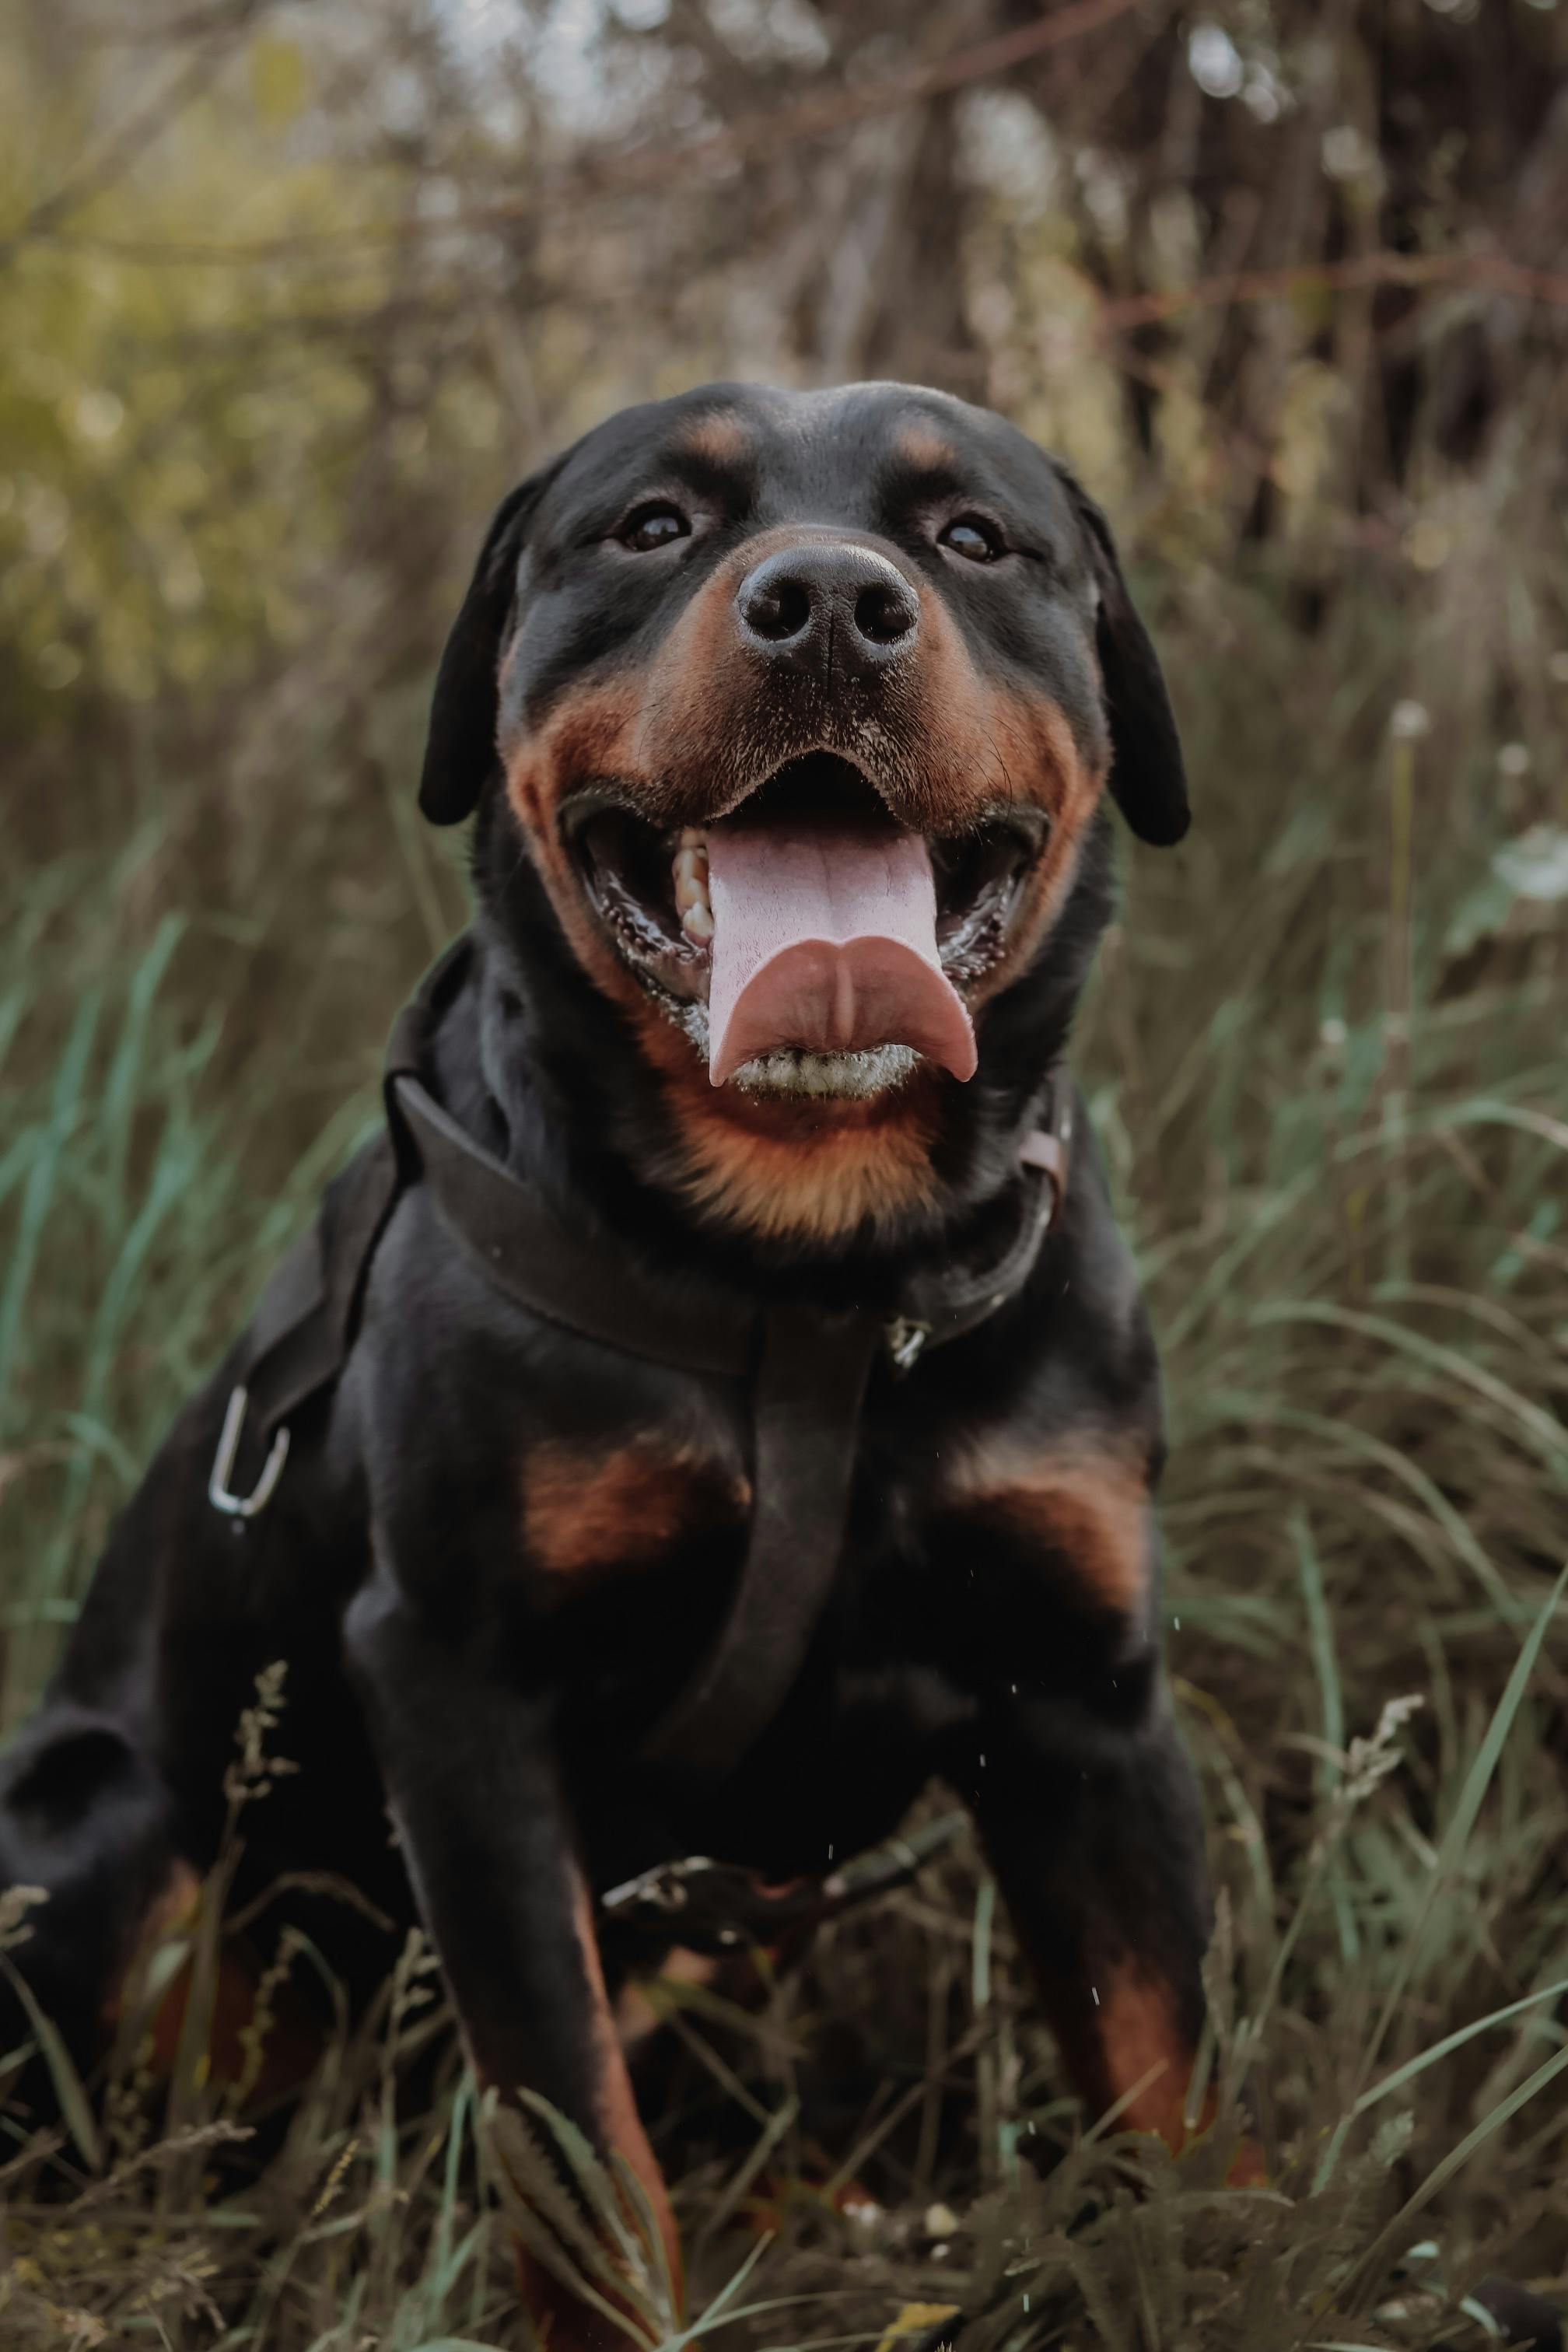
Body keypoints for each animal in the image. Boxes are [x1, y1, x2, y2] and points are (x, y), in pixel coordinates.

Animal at [0, 385, 1241, 2314]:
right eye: (653, 524)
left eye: (974, 538)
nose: (828, 605)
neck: (808, 1276)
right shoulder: (455, 1691)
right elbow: (577, 2141)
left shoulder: (1089, 1698)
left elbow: (1172, 2088)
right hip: (98, 1826)